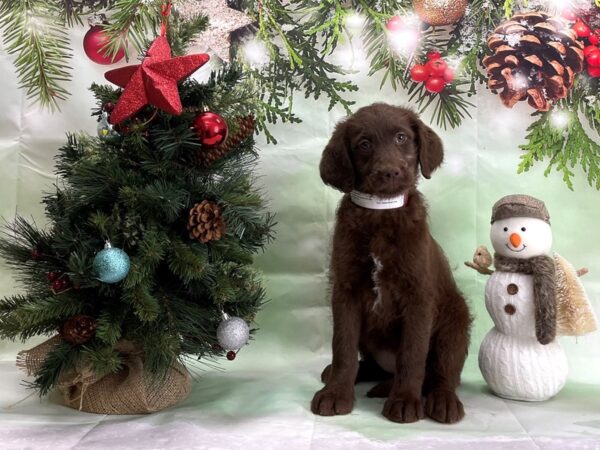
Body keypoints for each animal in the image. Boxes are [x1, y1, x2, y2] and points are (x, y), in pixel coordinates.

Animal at [312, 103, 472, 424]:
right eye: (363, 144)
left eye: (401, 137)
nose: (388, 171)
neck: (380, 213)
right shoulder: (345, 290)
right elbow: (343, 348)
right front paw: (336, 393)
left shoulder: (418, 295)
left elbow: (412, 354)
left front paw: (405, 400)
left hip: (456, 320)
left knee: (443, 372)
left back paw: (443, 400)